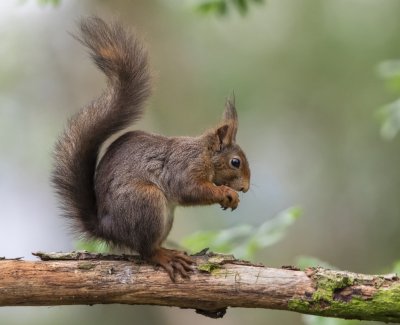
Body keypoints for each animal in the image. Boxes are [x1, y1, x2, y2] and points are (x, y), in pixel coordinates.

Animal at [51, 16, 248, 280]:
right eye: (235, 162)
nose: (245, 188)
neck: (204, 153)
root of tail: (108, 228)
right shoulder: (184, 167)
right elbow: (190, 189)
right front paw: (226, 192)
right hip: (146, 201)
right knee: (146, 251)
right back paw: (165, 256)